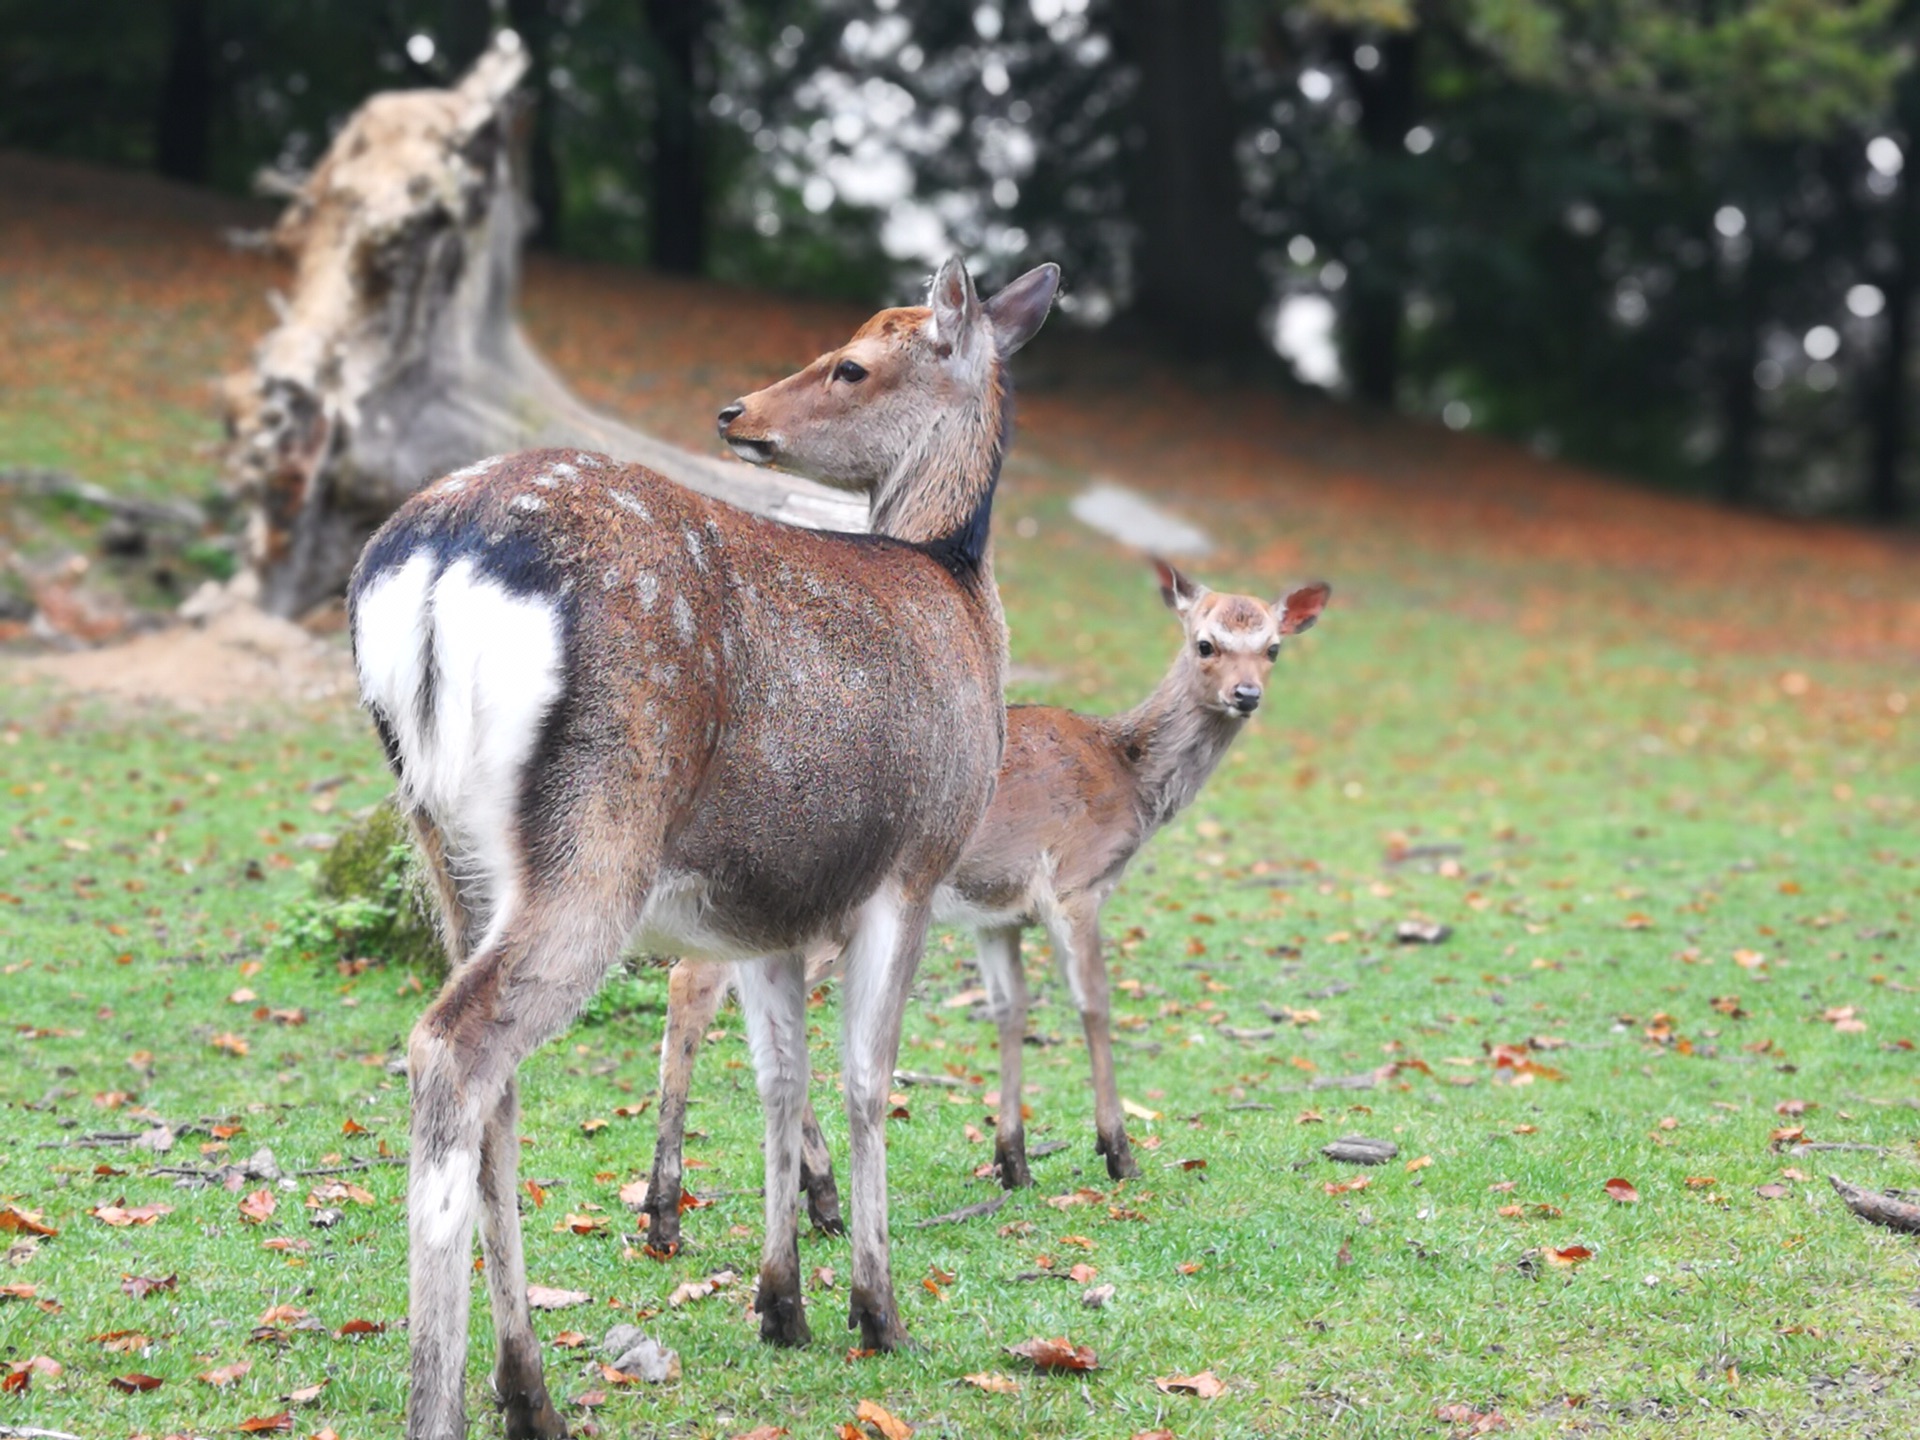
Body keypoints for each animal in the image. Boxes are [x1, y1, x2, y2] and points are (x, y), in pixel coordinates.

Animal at [353, 263, 1059, 1440]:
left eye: (851, 364)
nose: (737, 413)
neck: (961, 593)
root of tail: (435, 563)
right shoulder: (910, 868)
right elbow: (867, 1078)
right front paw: (878, 1311)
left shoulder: (769, 906)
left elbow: (778, 1076)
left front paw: (782, 1305)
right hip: (599, 830)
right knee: (451, 1047)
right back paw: (447, 1402)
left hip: (450, 847)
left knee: (495, 1086)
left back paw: (527, 1387)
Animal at [645, 564, 1320, 1251]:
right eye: (1205, 643)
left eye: (1273, 648)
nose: (1246, 694)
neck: (1130, 778)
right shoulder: (1074, 882)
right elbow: (1094, 1004)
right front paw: (1118, 1151)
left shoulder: (998, 914)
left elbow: (1009, 1010)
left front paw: (1012, 1160)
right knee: (698, 981)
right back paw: (686, 1208)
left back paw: (799, 1198)